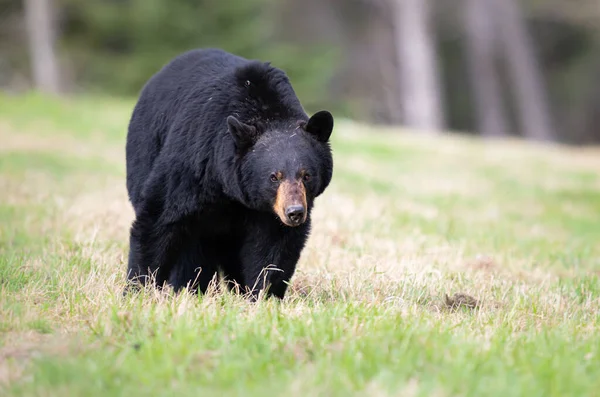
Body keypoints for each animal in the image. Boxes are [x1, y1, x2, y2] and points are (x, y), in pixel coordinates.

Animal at [125, 48, 336, 298]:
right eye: (274, 176)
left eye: (307, 175)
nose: (294, 212)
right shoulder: (192, 164)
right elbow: (159, 219)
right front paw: (138, 289)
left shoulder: (268, 212)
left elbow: (274, 247)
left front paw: (262, 294)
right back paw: (191, 287)